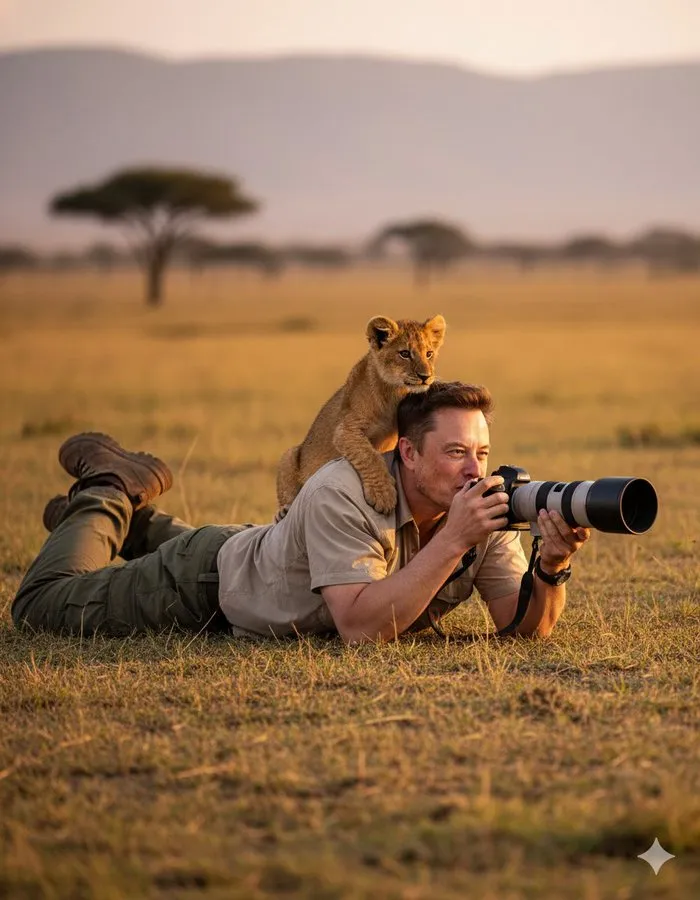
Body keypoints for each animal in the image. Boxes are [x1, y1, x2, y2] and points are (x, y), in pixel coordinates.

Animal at [276, 314, 446, 517]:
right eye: (405, 353)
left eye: (429, 354)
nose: (425, 376)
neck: (394, 394)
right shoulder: (345, 430)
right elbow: (369, 455)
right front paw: (384, 496)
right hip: (289, 456)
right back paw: (282, 512)